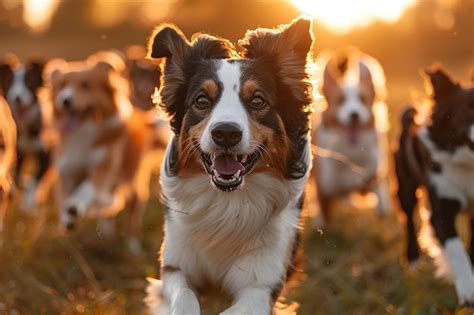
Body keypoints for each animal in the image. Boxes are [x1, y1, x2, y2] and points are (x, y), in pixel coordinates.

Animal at [144, 18, 314, 314]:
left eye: (258, 100)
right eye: (202, 100)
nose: (225, 133)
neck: (227, 205)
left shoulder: (261, 286)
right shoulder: (175, 267)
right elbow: (184, 298)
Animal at [312, 48, 388, 225]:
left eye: (363, 99)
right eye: (340, 100)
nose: (354, 115)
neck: (349, 151)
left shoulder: (366, 178)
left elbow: (378, 188)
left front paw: (382, 207)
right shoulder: (324, 185)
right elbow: (325, 212)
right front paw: (322, 222)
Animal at [394, 66, 474, 306]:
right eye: (468, 111)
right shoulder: (442, 207)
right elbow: (456, 249)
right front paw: (468, 291)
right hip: (406, 186)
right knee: (409, 219)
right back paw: (412, 261)